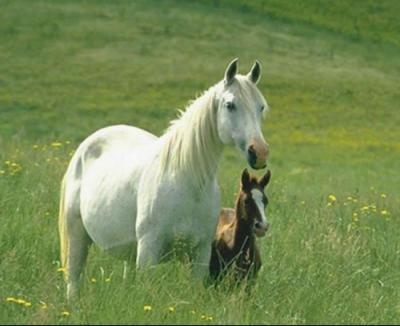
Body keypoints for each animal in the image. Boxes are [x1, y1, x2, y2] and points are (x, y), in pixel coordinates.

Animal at [58, 58, 268, 298]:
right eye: (230, 105)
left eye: (261, 107)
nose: (259, 152)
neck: (187, 183)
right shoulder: (149, 250)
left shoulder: (201, 253)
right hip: (77, 237)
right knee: (74, 280)